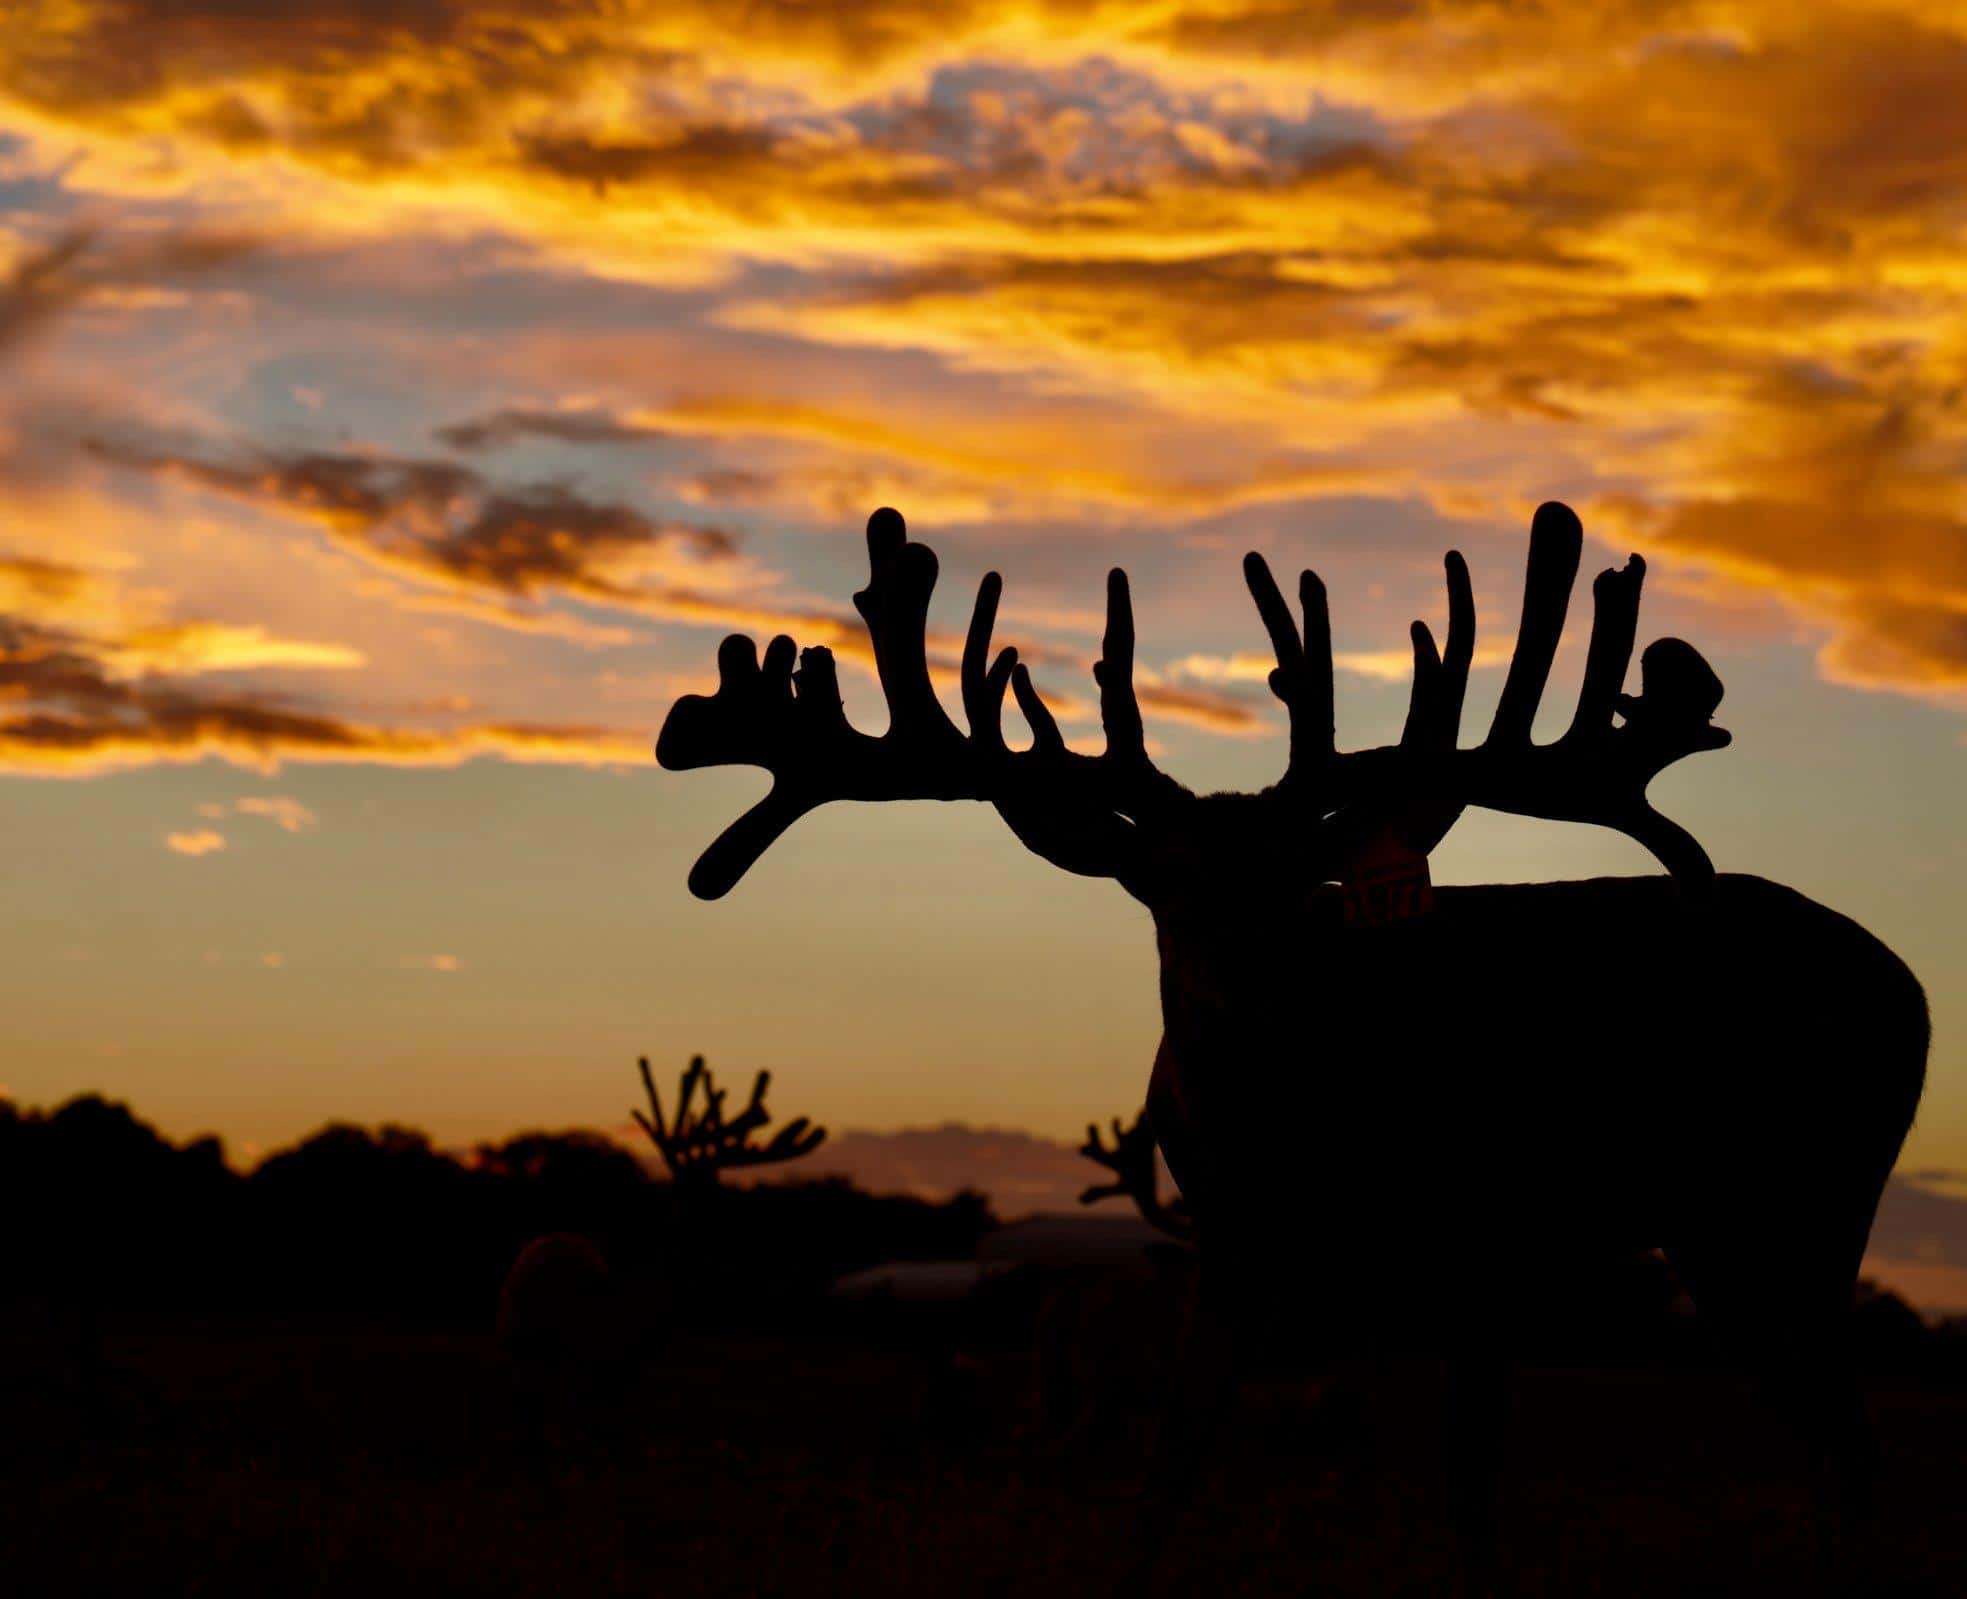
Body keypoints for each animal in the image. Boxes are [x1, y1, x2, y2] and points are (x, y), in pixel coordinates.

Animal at [495, 1053, 826, 1461]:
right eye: (701, 1193)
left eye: (718, 1189)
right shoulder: (586, 1364)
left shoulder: (621, 1374)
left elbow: (608, 1434)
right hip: (517, 1342)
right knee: (527, 1409)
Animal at [654, 502, 1929, 1588]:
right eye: (1155, 889)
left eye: (1297, 888)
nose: (1247, 1005)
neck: (1302, 1139)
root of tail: (1903, 982)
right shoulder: (1229, 1239)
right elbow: (1167, 1467)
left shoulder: (1483, 1228)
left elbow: (1468, 1488)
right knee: (1830, 1438)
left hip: (1793, 1206)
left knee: (1848, 1440)